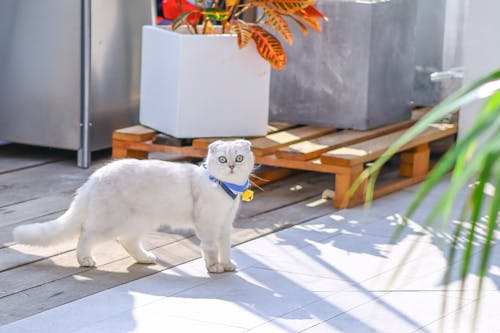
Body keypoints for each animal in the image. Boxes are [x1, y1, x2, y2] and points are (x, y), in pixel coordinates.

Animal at [13, 140, 256, 272]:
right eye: (223, 160)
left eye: (240, 158)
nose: (232, 166)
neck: (226, 189)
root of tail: (94, 177)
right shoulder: (207, 224)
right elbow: (211, 248)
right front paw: (214, 267)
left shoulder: (225, 225)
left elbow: (225, 248)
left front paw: (227, 265)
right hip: (108, 222)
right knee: (85, 235)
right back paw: (85, 260)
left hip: (141, 220)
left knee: (127, 240)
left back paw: (145, 258)